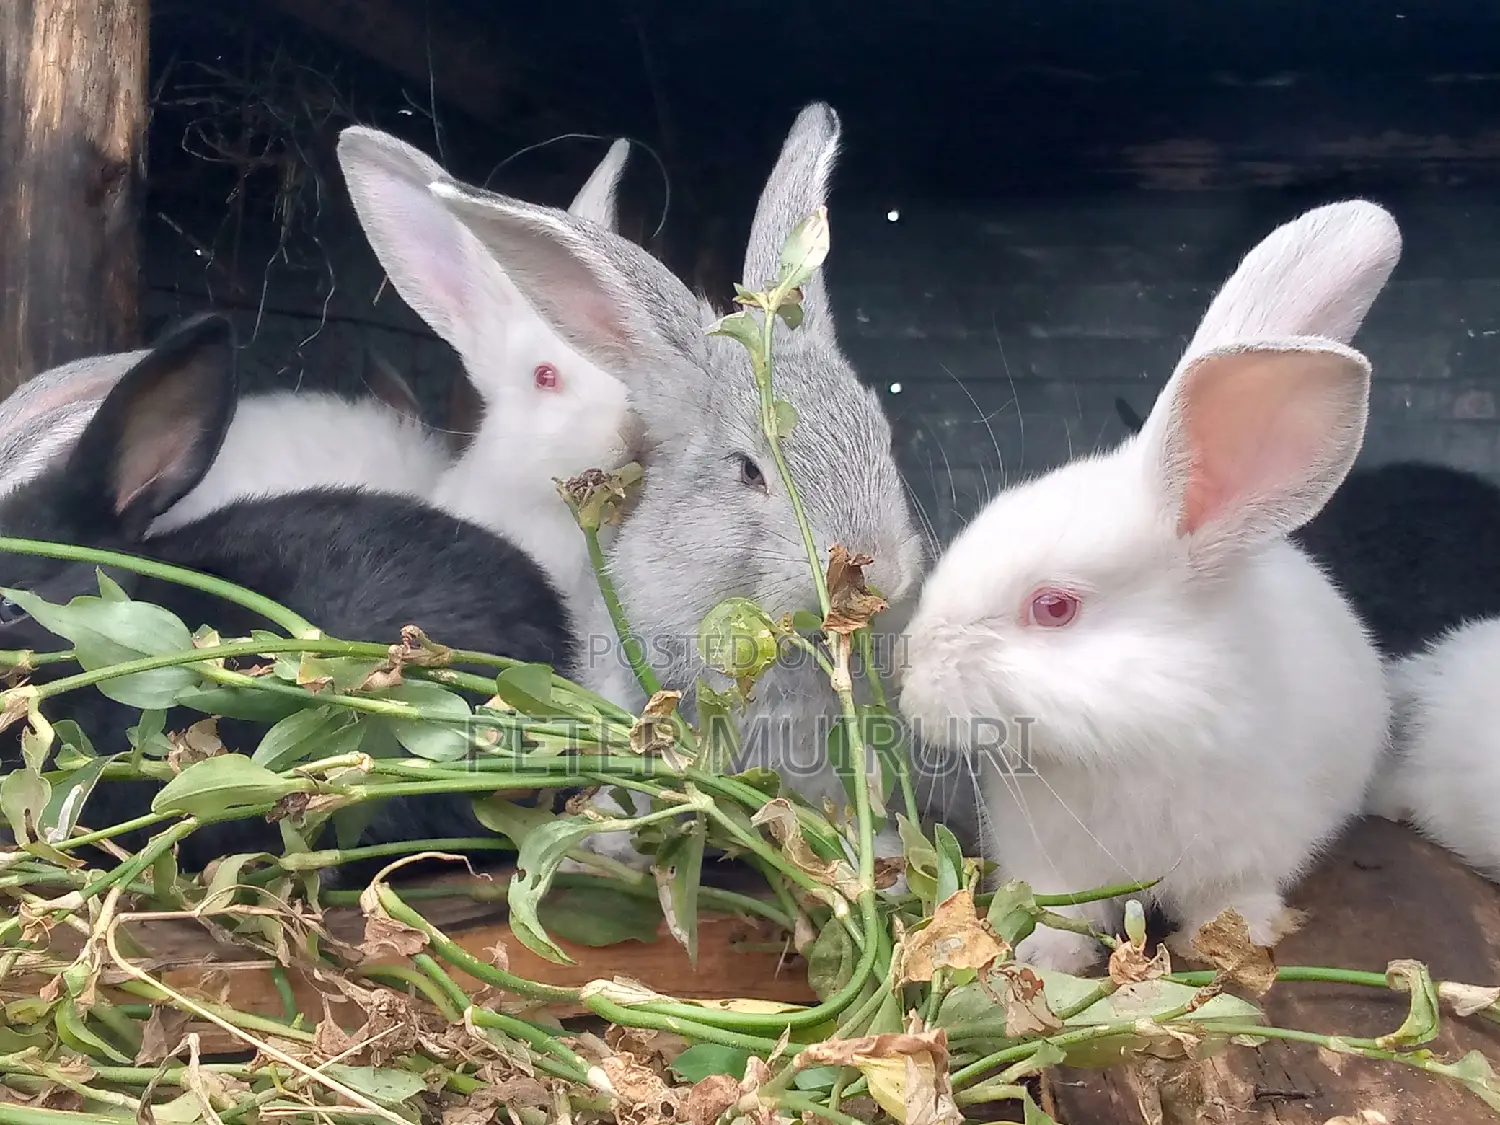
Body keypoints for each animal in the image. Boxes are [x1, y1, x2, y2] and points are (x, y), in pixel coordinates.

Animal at [896, 201, 1396, 973]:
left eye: (1055, 607)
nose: (908, 676)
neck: (1135, 738)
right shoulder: (1051, 859)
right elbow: (1057, 910)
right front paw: (1041, 956)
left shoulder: (1251, 850)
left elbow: (1232, 900)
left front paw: (1234, 943)